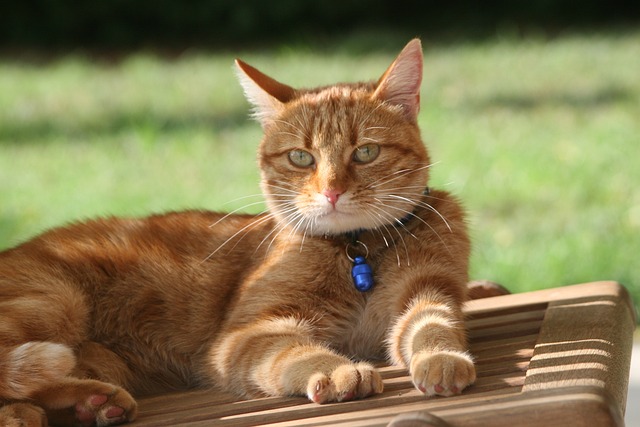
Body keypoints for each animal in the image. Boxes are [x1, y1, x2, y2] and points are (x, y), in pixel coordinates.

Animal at [0, 38, 476, 426]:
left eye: (366, 152)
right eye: (301, 158)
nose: (332, 191)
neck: (357, 253)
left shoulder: (429, 289)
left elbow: (432, 324)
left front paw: (442, 359)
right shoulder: (250, 332)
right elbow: (293, 351)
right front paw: (337, 368)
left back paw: (92, 403)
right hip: (56, 303)